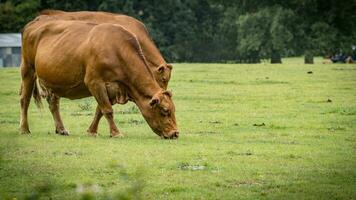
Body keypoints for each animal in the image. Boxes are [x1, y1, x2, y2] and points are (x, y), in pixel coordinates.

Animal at [19, 16, 179, 139]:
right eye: (165, 110)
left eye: (173, 109)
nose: (175, 133)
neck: (117, 50)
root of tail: (36, 21)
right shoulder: (94, 82)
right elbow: (107, 110)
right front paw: (116, 133)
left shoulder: (113, 88)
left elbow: (100, 110)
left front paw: (92, 131)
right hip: (28, 70)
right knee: (24, 100)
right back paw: (24, 129)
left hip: (54, 81)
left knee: (54, 103)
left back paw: (61, 129)